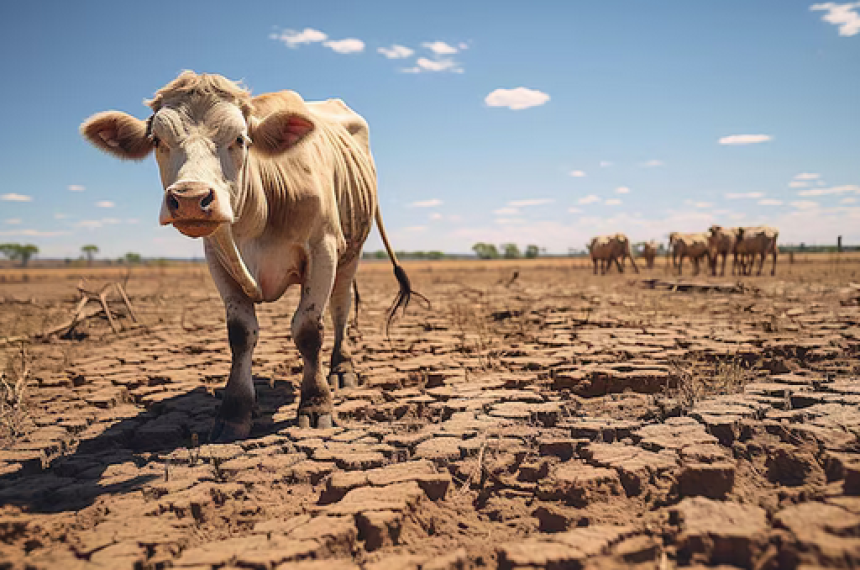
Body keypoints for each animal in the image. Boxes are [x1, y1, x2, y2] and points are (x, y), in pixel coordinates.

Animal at [80, 69, 424, 438]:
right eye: (157, 140)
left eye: (240, 139)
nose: (190, 198)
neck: (257, 215)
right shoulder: (217, 260)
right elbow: (241, 333)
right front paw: (234, 411)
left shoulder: (323, 250)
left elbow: (308, 329)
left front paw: (316, 404)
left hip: (350, 255)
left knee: (340, 308)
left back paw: (341, 369)